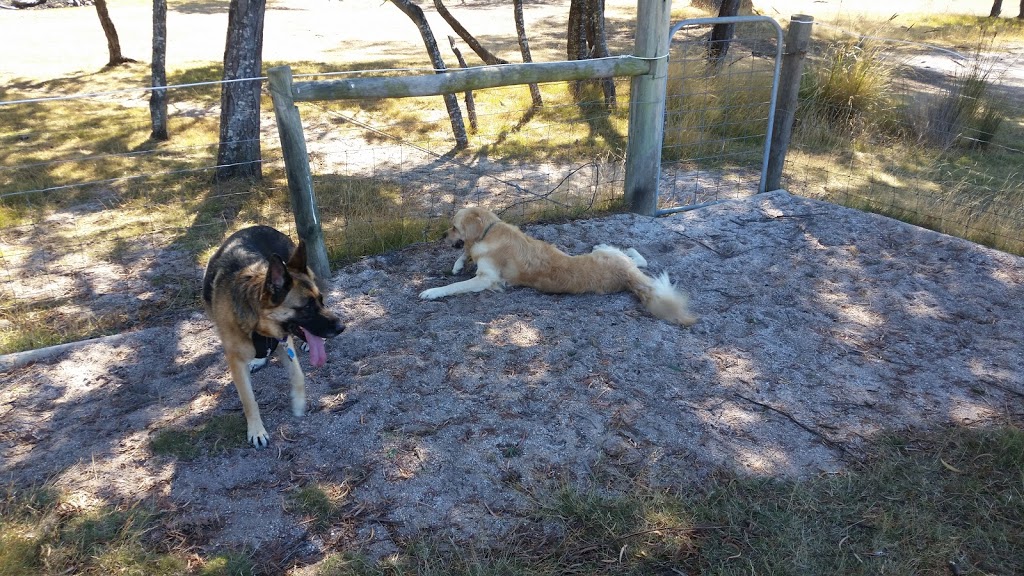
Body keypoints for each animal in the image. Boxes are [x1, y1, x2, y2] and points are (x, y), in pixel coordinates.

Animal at [202, 223, 344, 444]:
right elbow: (248, 399)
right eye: (306, 308)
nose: (341, 327)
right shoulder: (235, 361)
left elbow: (298, 375)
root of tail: (258, 226)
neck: (258, 325)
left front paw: (298, 402)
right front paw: (256, 430)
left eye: (321, 301)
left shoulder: (285, 343)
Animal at [415, 206, 696, 325]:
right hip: (619, 261)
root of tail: (626, 276)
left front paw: (432, 291)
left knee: (633, 256)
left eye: (454, 227)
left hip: (608, 255)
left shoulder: (486, 278)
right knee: (638, 259)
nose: (442, 236)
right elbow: (466, 253)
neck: (489, 231)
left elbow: (455, 285)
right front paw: (457, 264)